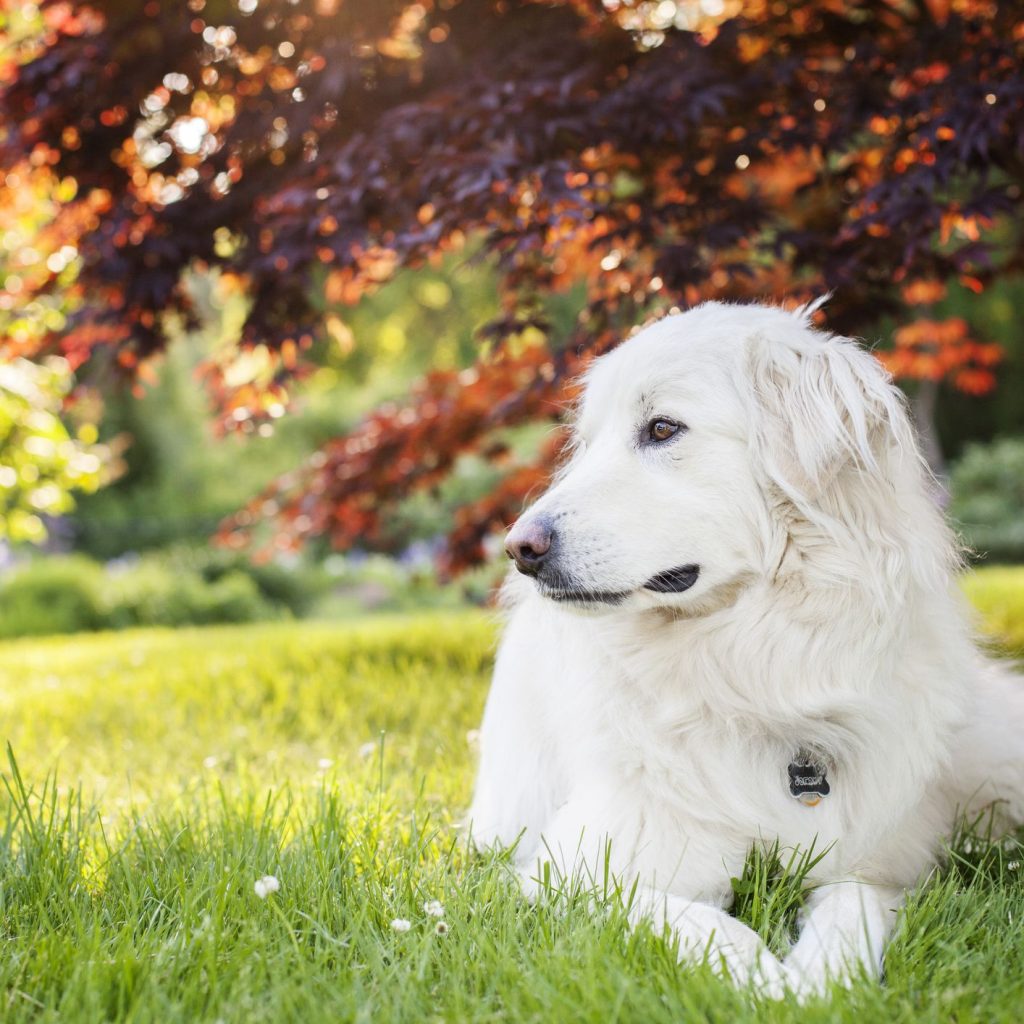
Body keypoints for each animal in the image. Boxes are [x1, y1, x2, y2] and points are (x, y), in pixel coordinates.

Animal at [468, 299, 1024, 999]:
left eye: (662, 428)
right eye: (589, 446)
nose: (518, 548)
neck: (751, 666)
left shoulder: (874, 866)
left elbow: (852, 912)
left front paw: (822, 983)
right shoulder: (575, 873)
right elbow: (705, 923)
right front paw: (767, 984)